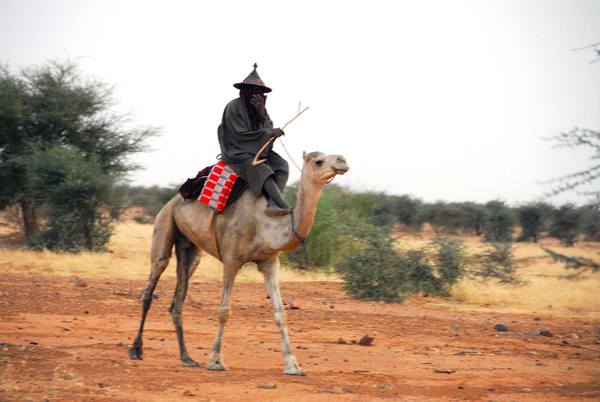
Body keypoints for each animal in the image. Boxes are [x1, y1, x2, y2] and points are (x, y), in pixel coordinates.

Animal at [129, 151, 350, 374]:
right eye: (318, 161)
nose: (343, 160)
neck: (265, 224)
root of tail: (173, 200)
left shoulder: (270, 262)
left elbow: (280, 313)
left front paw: (293, 365)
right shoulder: (231, 260)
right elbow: (224, 311)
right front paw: (216, 361)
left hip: (189, 247)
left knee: (179, 294)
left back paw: (187, 358)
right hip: (164, 223)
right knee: (152, 282)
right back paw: (136, 350)